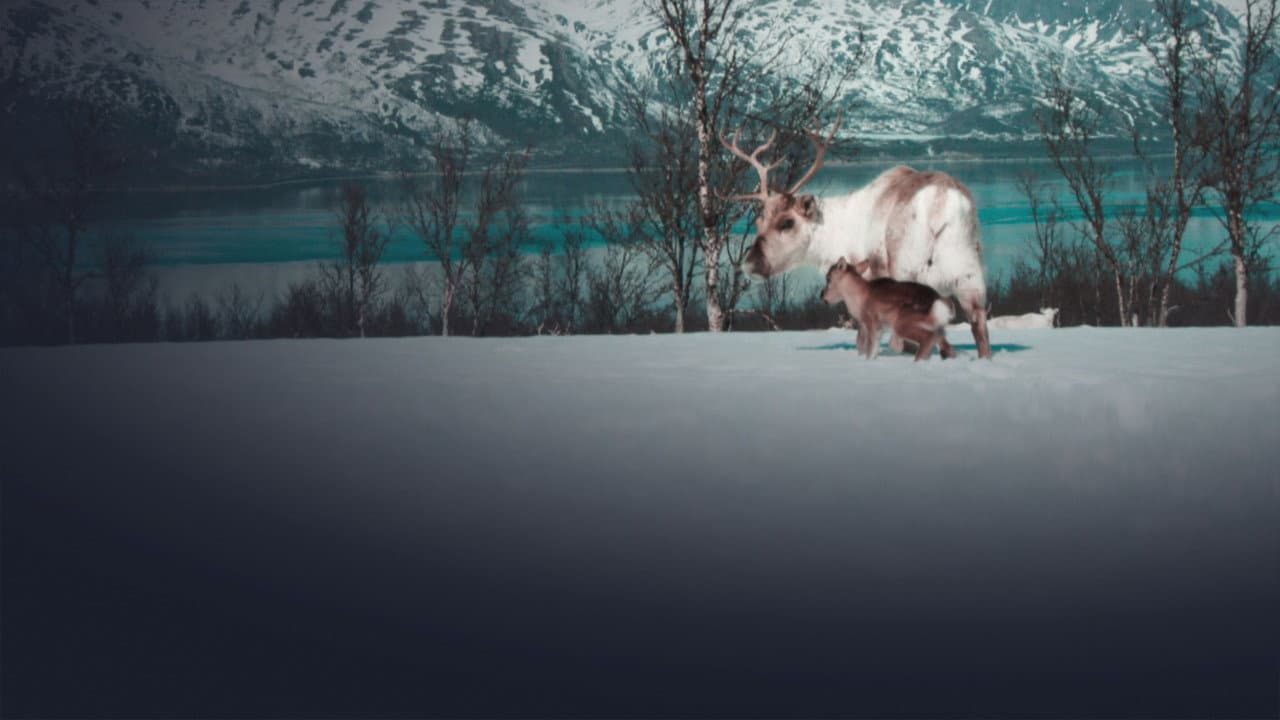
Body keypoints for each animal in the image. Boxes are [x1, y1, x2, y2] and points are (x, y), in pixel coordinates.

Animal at [821, 258, 957, 360]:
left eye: (828, 278)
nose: (822, 296)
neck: (857, 300)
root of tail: (940, 301)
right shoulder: (875, 327)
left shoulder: (872, 323)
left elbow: (869, 348)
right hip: (938, 328)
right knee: (948, 348)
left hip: (902, 323)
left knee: (928, 338)